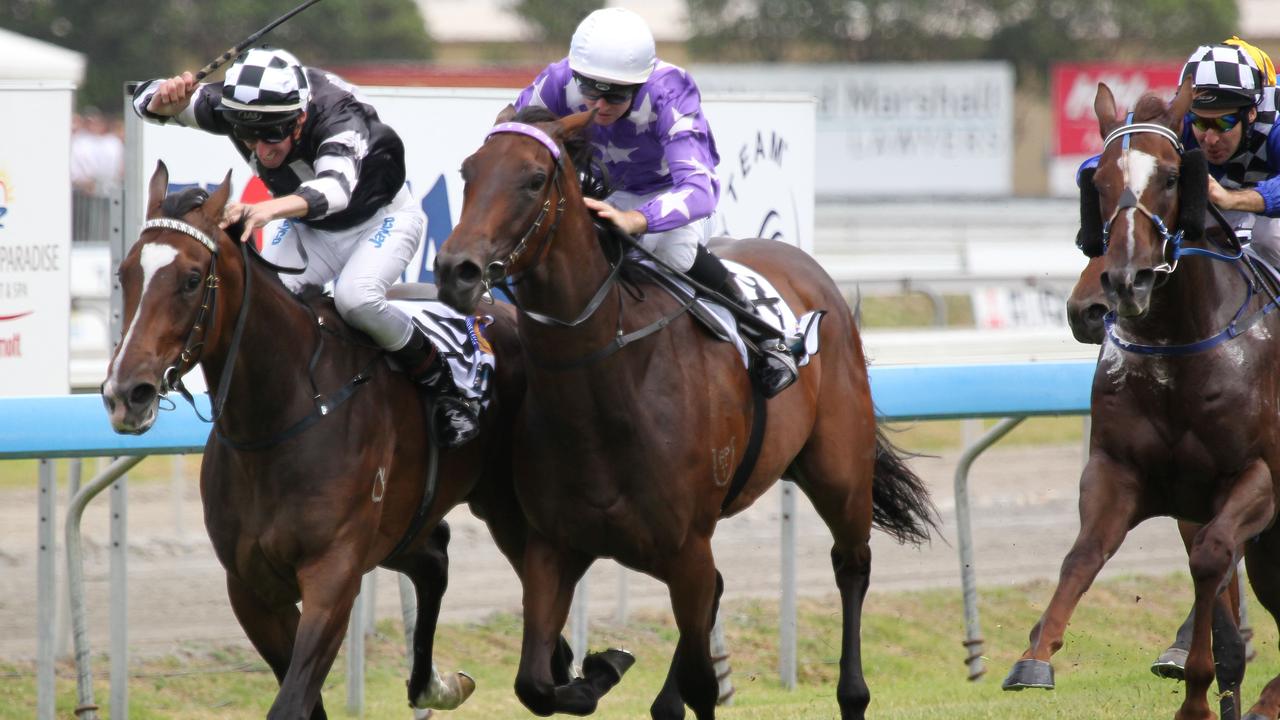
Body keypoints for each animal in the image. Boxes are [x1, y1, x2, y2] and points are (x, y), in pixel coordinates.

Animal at [98, 162, 540, 717]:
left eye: (192, 279)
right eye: (124, 273)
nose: (125, 394)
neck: (279, 420)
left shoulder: (333, 575)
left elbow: (292, 700)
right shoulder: (251, 588)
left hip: (508, 506)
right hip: (402, 520)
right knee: (433, 554)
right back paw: (435, 684)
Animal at [435, 106, 936, 717]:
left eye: (533, 180)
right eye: (468, 171)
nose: (455, 269)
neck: (605, 392)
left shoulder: (686, 547)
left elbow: (702, 682)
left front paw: (615, 669)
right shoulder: (554, 546)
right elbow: (536, 682)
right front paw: (600, 668)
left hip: (839, 470)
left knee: (852, 566)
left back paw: (853, 693)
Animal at [998, 78, 1280, 717]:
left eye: (1174, 177)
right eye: (1097, 181)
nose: (1123, 285)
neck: (1179, 348)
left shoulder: (1259, 477)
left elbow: (1210, 558)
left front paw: (1199, 694)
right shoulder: (1124, 471)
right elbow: (1085, 554)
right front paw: (1034, 656)